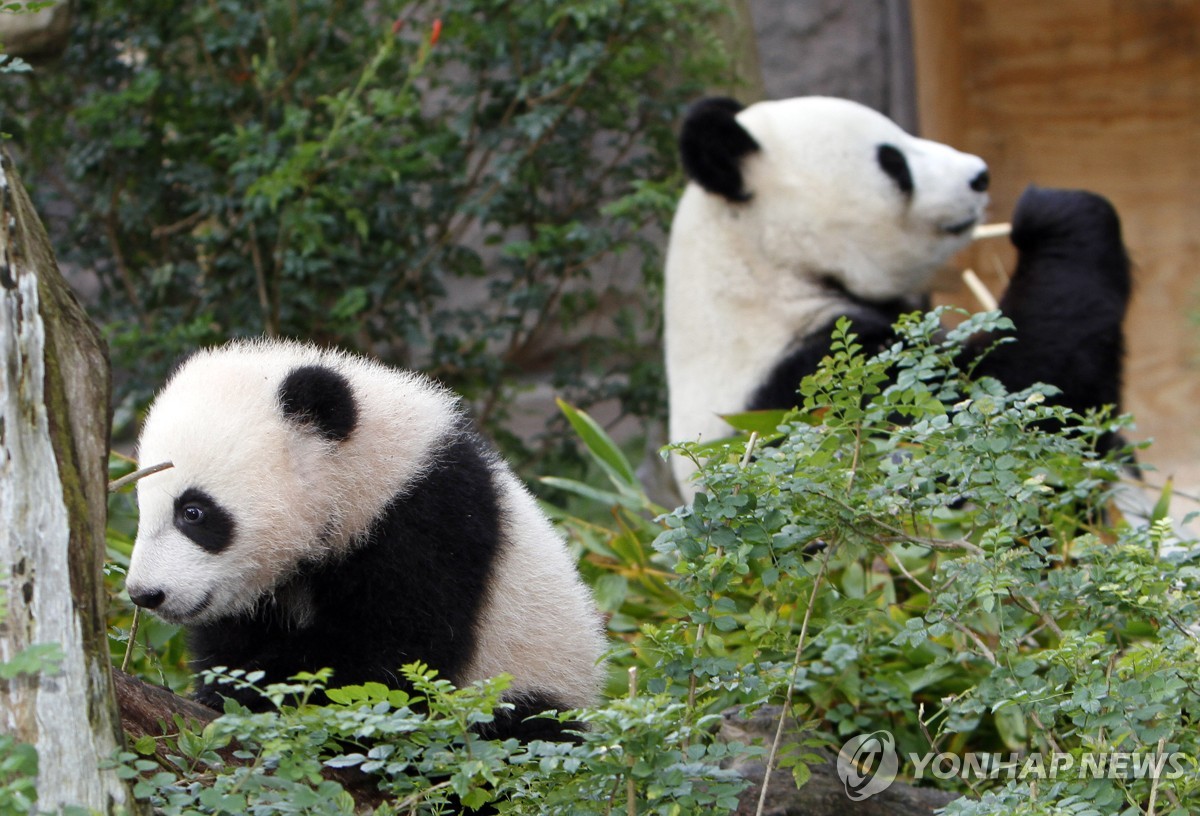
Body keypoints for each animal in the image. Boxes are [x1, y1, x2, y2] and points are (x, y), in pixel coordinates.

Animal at [125, 338, 604, 739]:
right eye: (141, 506)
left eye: (193, 512)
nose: (145, 594)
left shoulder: (429, 525)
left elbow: (392, 655)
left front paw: (245, 692)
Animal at [662, 92, 1128, 494]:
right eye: (893, 162)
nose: (980, 176)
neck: (760, 268)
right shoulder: (809, 383)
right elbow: (996, 406)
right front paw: (1055, 211)